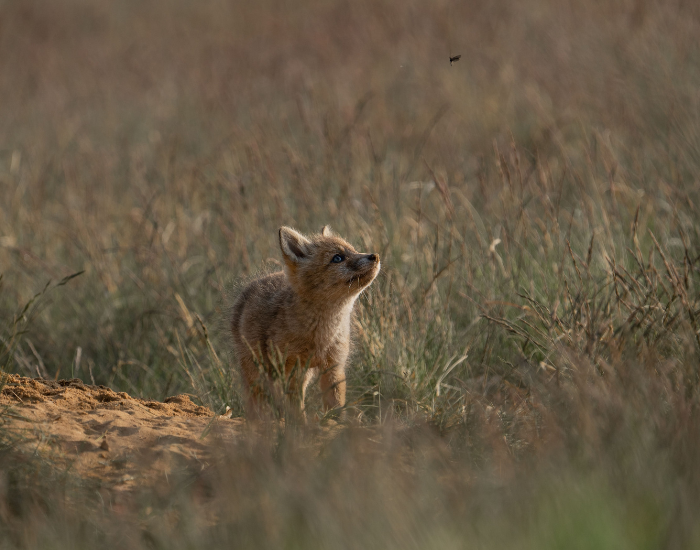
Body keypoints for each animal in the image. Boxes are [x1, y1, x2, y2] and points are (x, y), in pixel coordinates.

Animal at [231, 226, 380, 417]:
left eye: (354, 249)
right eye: (337, 258)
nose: (374, 256)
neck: (323, 334)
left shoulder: (333, 366)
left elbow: (335, 405)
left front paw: (338, 422)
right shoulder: (294, 369)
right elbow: (296, 407)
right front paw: (300, 423)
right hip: (260, 374)